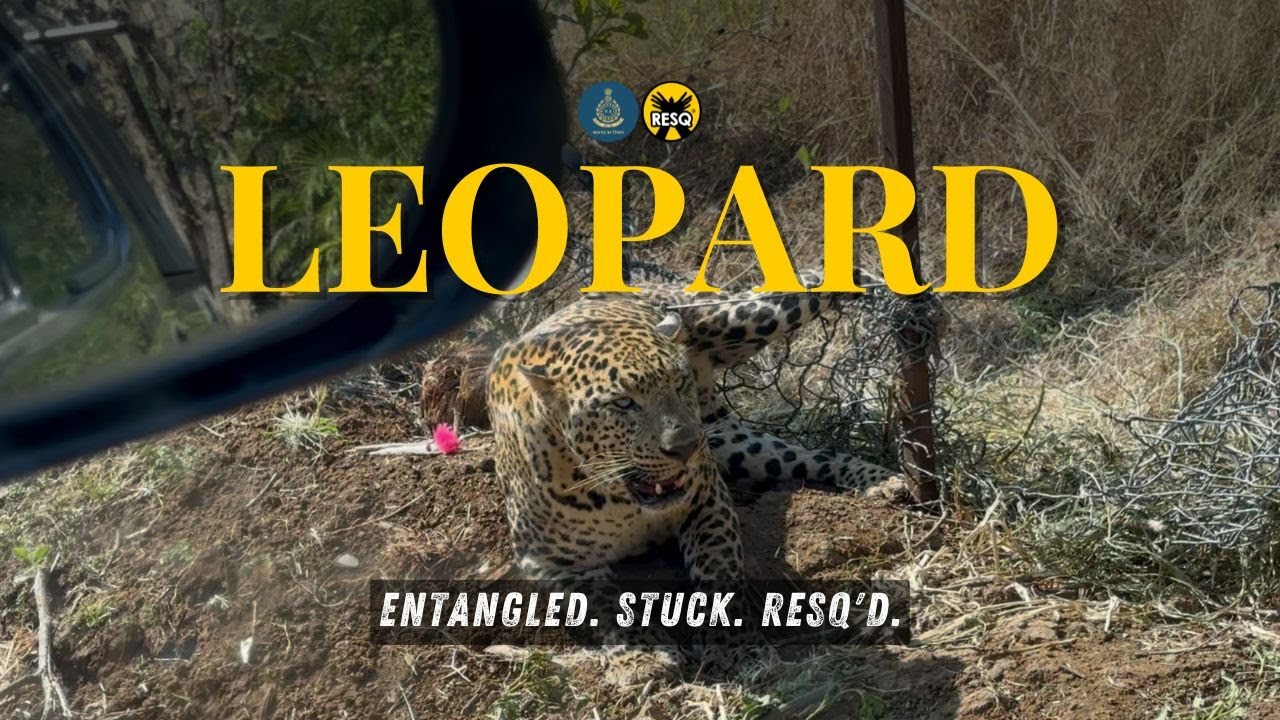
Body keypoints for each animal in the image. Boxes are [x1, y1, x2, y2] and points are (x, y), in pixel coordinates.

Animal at [485, 273, 908, 685]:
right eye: (623, 403)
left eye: (677, 383)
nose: (686, 446)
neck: (618, 498)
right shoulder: (548, 560)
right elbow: (602, 602)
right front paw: (644, 655)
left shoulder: (707, 497)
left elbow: (718, 571)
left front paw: (735, 647)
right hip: (736, 446)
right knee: (806, 456)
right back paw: (882, 481)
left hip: (747, 317)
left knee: (810, 286)